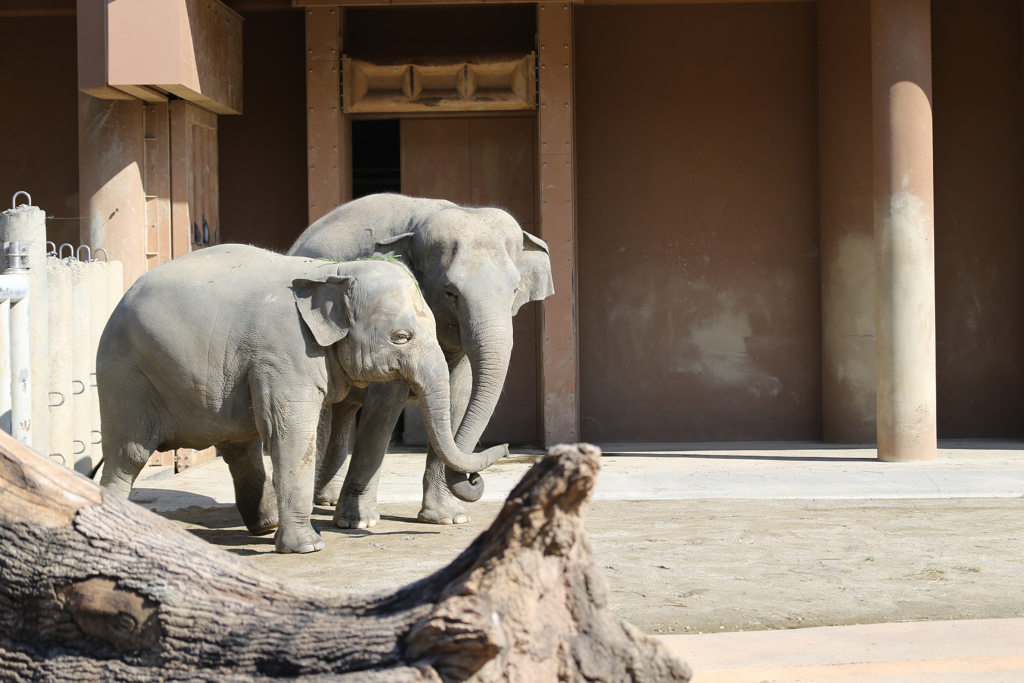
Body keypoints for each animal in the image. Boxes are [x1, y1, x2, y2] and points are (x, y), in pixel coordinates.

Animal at [97, 245, 505, 557]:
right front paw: (309, 547)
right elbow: (292, 434)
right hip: (124, 377)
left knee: (239, 449)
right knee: (129, 453)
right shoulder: (284, 353)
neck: (331, 274)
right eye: (401, 337)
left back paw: (266, 526)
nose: (475, 477)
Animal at [288, 194, 552, 528]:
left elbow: (458, 396)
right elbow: (385, 404)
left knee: (344, 410)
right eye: (450, 293)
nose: (475, 477)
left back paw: (327, 499)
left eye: (516, 290)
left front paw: (449, 519)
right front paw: (358, 522)